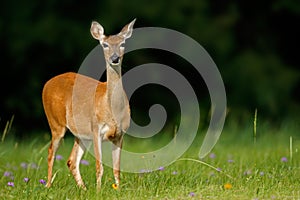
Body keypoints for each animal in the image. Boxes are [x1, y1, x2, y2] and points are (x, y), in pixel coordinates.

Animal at [41, 19, 135, 191]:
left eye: (123, 43)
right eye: (105, 44)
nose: (115, 58)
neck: (112, 109)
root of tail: (46, 84)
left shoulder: (120, 134)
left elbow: (117, 168)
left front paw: (117, 190)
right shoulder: (96, 128)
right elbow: (99, 166)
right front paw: (98, 191)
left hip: (80, 134)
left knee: (71, 161)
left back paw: (83, 189)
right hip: (56, 123)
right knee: (51, 152)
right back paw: (48, 186)